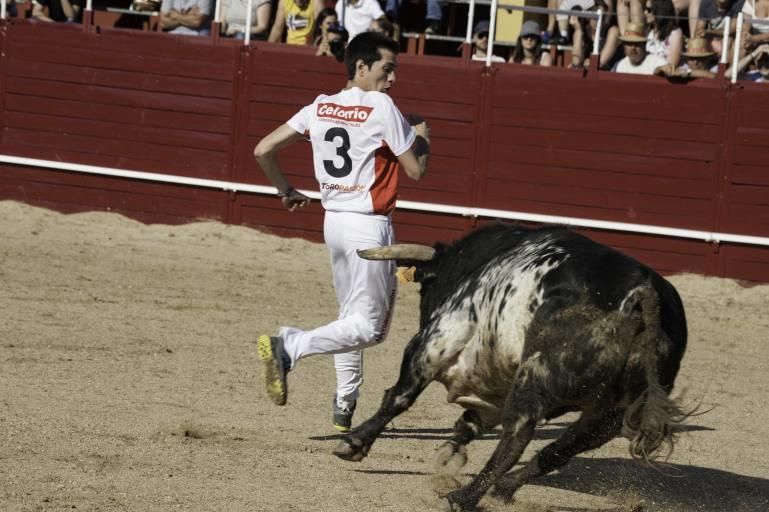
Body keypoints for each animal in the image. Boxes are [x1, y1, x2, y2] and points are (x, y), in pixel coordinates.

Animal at [330, 224, 688, 512]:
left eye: (425, 289)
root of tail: (643, 292)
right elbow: (470, 423)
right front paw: (449, 454)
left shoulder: (438, 338)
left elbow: (400, 395)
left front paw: (354, 443)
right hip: (614, 412)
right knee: (561, 449)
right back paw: (501, 488)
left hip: (533, 375)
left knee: (518, 432)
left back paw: (463, 498)